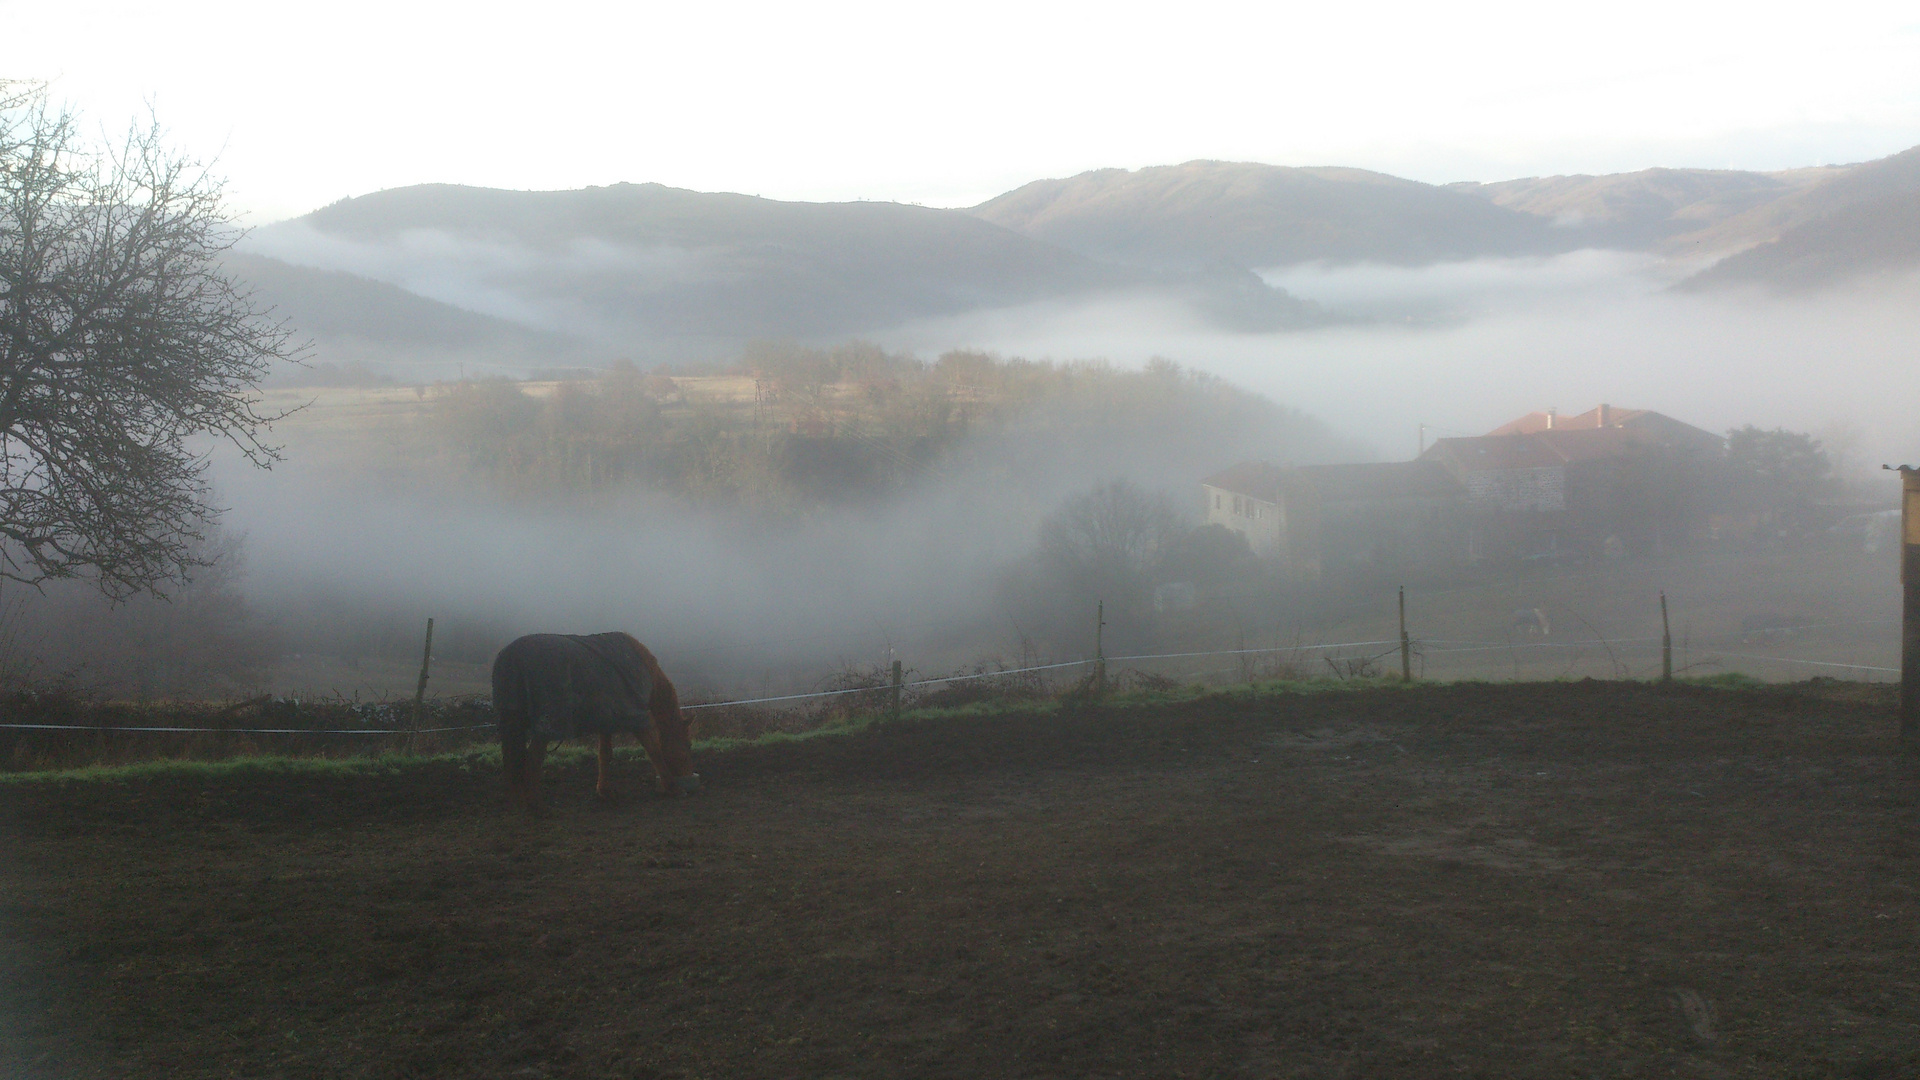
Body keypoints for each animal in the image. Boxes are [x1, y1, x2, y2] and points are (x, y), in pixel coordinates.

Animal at [491, 630, 702, 807]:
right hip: (546, 725)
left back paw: (518, 802)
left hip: (512, 721)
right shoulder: (636, 718)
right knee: (532, 759)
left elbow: (605, 755)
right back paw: (535, 805)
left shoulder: (606, 721)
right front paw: (674, 788)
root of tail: (511, 656)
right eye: (689, 745)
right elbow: (654, 751)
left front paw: (604, 792)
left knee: (513, 762)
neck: (644, 669)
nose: (687, 774)